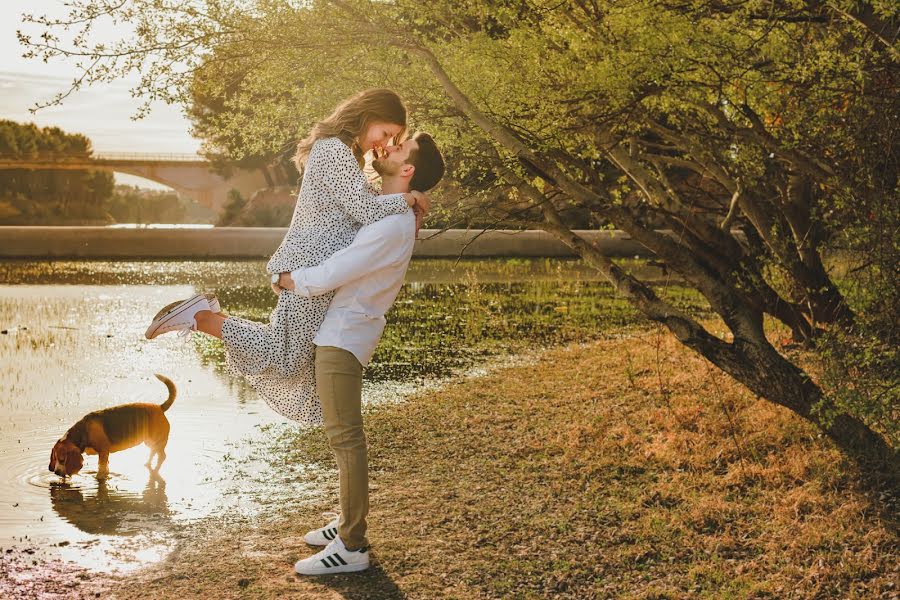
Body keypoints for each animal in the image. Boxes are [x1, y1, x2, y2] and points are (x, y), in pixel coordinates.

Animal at [48, 372, 176, 480]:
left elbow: (101, 468)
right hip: (149, 442)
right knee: (153, 452)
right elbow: (105, 467)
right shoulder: (105, 454)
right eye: (55, 458)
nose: (56, 473)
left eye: (62, 460)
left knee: (162, 456)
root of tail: (160, 407)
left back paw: (155, 470)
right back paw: (147, 463)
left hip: (157, 441)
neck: (83, 431)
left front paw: (99, 478)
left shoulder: (103, 451)